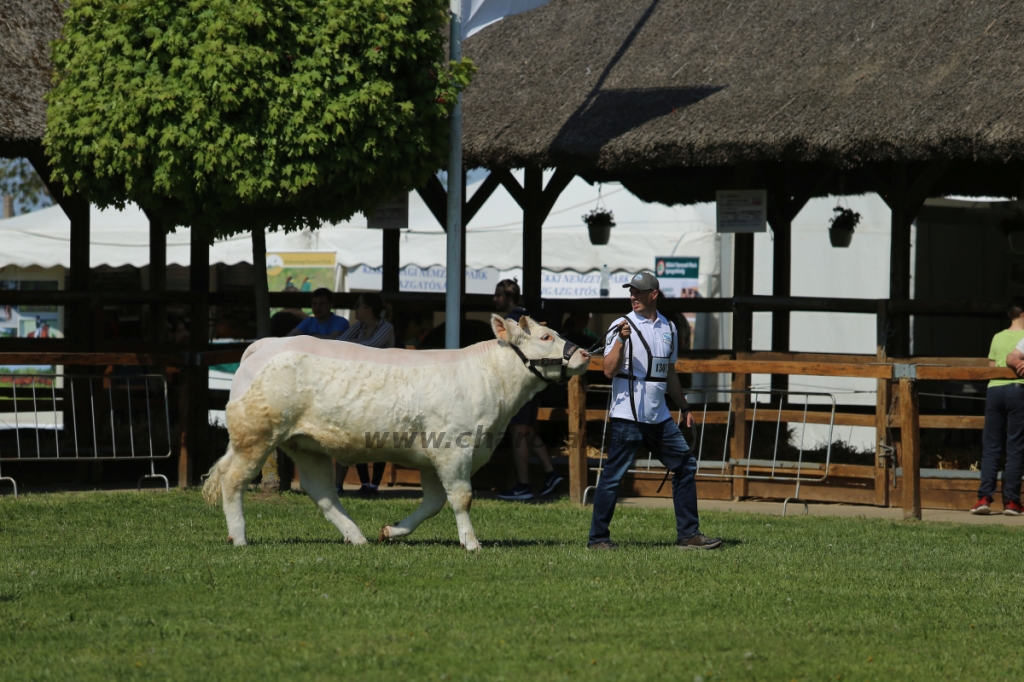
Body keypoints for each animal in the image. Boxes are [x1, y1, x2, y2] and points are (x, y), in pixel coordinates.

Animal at [199, 315, 589, 548]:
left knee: (320, 491)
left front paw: (392, 531)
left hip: (305, 444)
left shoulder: (435, 457)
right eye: (546, 335)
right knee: (233, 480)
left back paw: (356, 536)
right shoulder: (454, 448)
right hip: (257, 436)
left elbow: (432, 503)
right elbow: (461, 499)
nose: (585, 352)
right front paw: (472, 543)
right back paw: (239, 536)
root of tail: (265, 344)